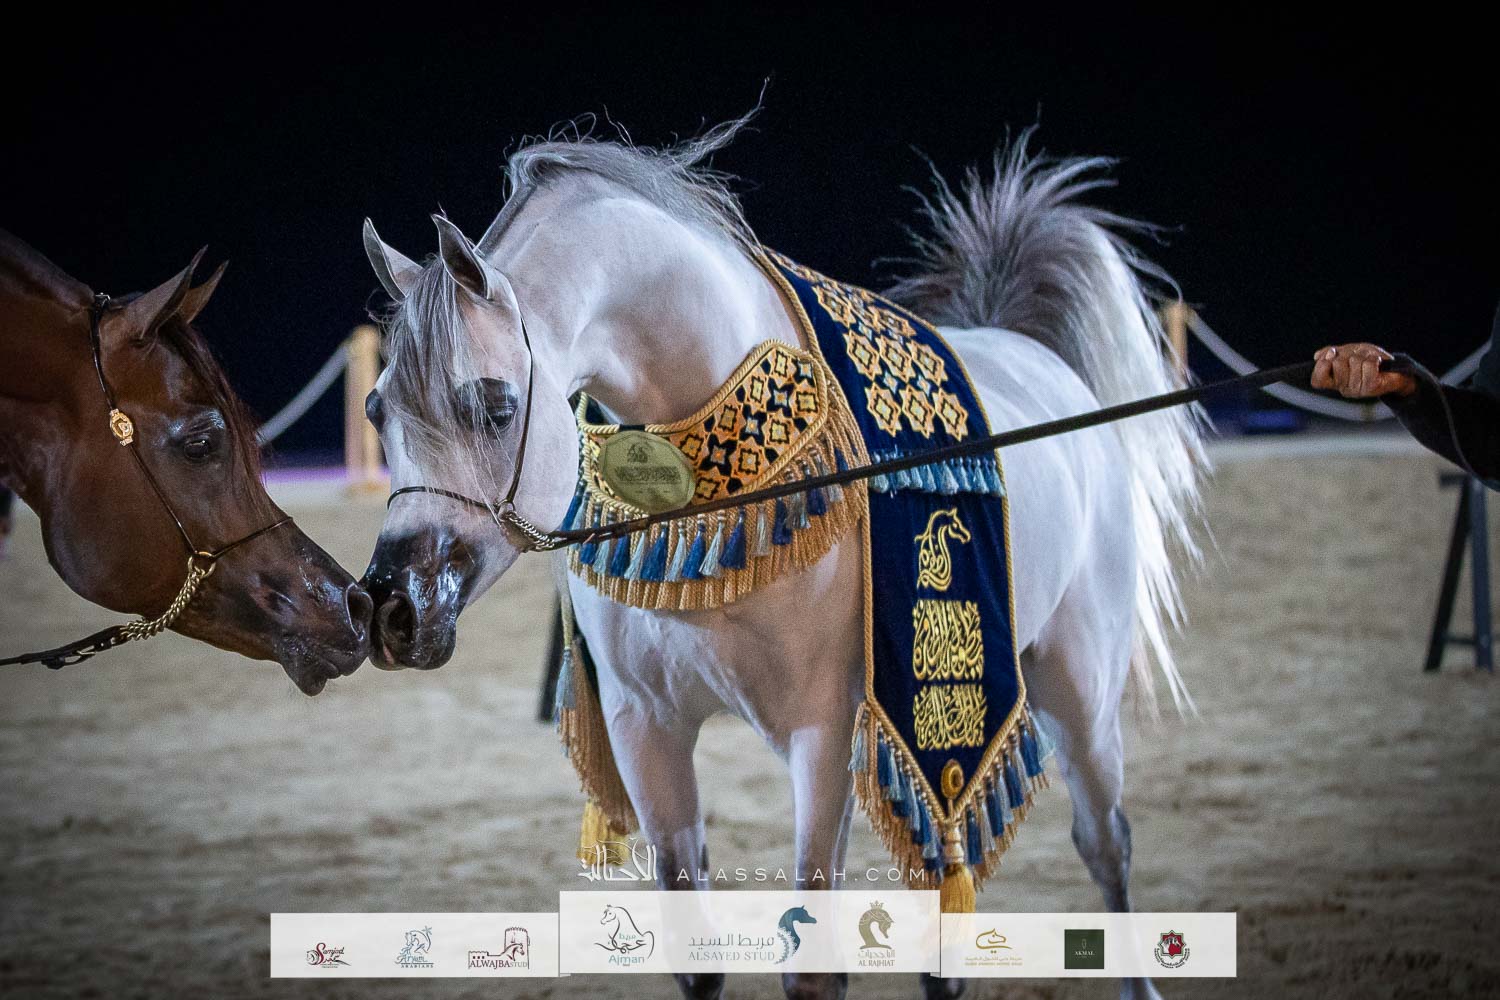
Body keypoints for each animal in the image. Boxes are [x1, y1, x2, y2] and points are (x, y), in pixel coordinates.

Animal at [358, 118, 1203, 1000]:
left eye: (496, 406)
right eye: (376, 409)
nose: (395, 606)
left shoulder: (823, 730)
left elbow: (814, 966)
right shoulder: (644, 726)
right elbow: (695, 956)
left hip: (1076, 688)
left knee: (1104, 841)